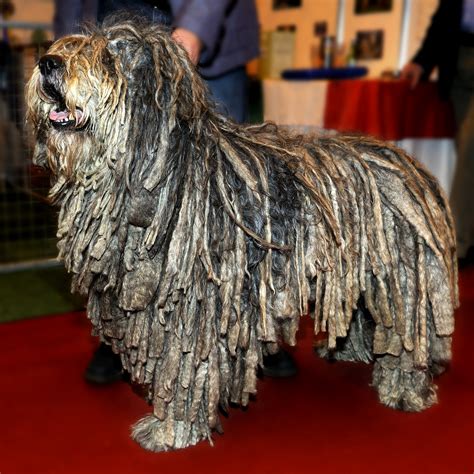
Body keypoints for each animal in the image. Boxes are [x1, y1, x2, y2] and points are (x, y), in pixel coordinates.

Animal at [26, 16, 460, 450]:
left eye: (111, 56)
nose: (48, 62)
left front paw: (171, 428)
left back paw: (405, 389)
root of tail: (410, 164)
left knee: (407, 333)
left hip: (400, 277)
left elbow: (184, 369)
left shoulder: (192, 306)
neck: (161, 176)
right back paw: (344, 350)